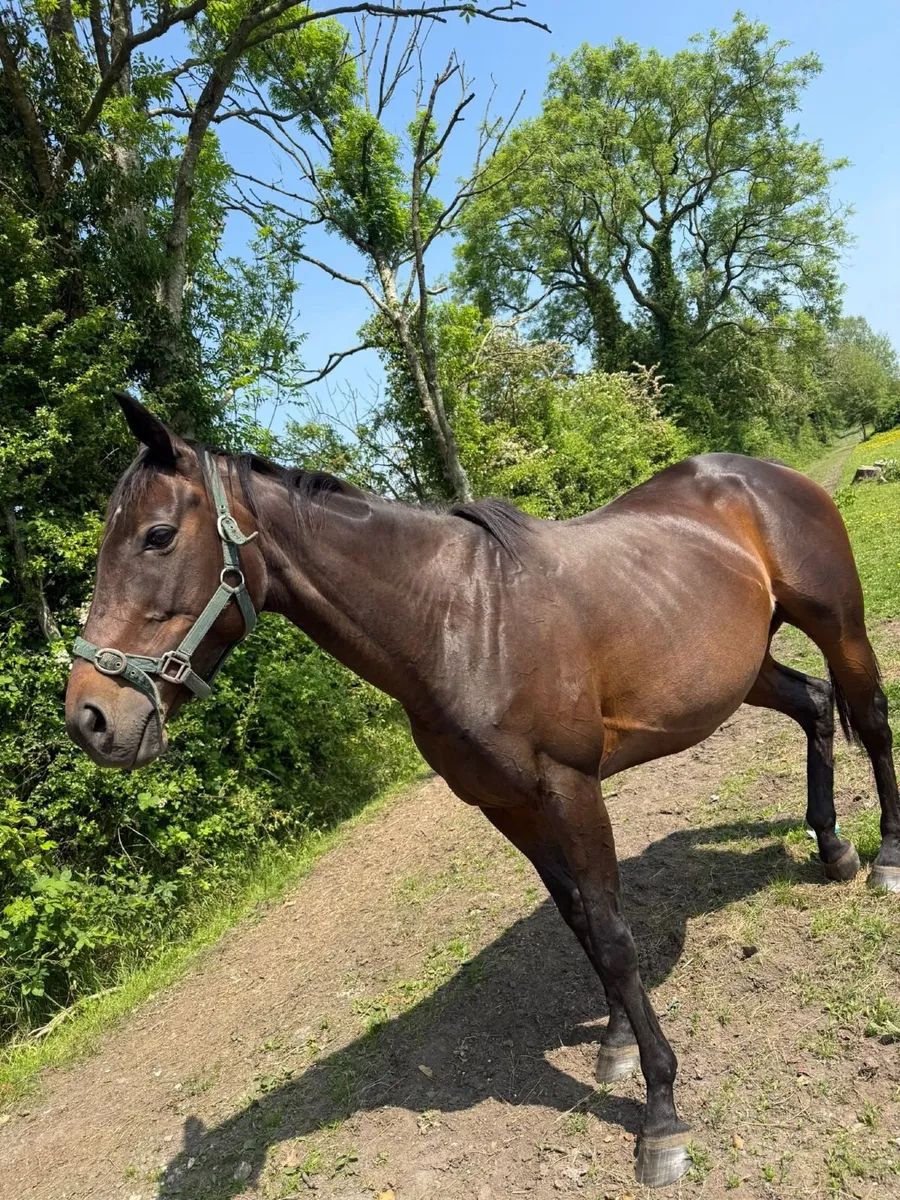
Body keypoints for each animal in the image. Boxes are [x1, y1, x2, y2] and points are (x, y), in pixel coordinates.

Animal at [65, 393, 900, 1188]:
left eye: (157, 536)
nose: (91, 719)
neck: (455, 620)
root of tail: (763, 475)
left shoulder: (570, 788)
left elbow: (615, 936)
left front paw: (661, 1115)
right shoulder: (510, 807)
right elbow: (582, 922)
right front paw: (618, 1046)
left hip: (838, 624)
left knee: (871, 720)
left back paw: (885, 861)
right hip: (744, 669)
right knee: (816, 706)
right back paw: (832, 850)